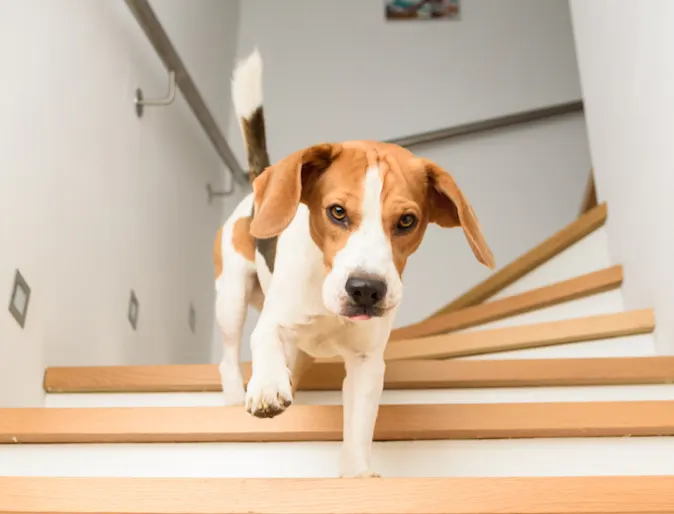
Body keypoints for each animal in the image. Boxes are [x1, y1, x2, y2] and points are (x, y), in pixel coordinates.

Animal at [215, 49, 494, 476]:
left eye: (407, 221)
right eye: (337, 212)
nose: (366, 290)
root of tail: (259, 185)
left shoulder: (366, 363)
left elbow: (359, 426)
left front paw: (358, 472)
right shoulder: (275, 320)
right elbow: (263, 338)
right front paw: (265, 387)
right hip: (230, 295)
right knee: (229, 355)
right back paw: (234, 396)